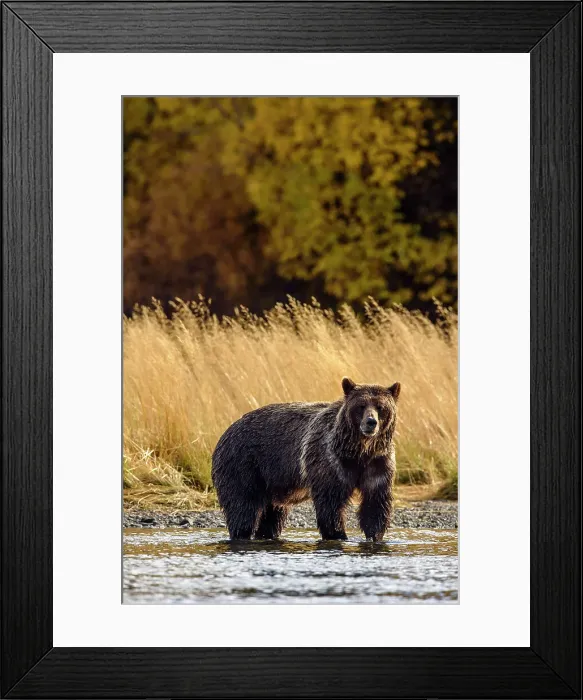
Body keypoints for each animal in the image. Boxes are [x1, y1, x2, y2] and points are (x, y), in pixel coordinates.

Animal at [211, 377, 401, 542]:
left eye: (380, 407)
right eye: (361, 406)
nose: (371, 422)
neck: (359, 451)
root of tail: (227, 431)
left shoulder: (378, 463)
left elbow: (375, 503)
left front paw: (374, 536)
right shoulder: (330, 462)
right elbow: (330, 504)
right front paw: (338, 535)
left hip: (272, 482)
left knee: (272, 515)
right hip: (243, 464)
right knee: (243, 508)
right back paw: (241, 534)